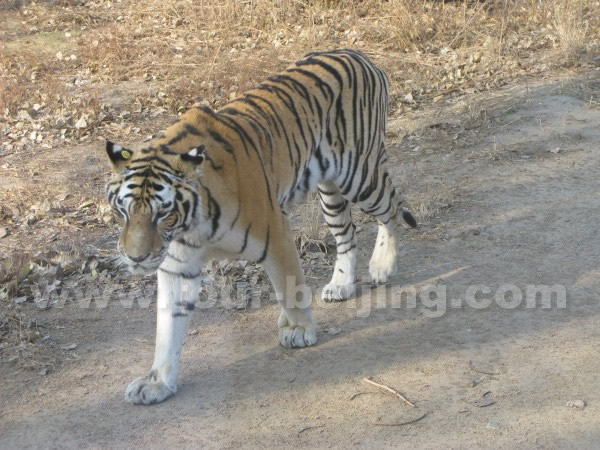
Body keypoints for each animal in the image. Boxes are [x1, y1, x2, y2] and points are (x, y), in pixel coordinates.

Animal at [106, 48, 418, 404]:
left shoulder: (276, 234)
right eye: (123, 212)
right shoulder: (177, 264)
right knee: (347, 234)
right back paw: (340, 285)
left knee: (392, 206)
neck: (191, 223)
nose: (136, 258)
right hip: (330, 191)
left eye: (162, 214)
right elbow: (168, 329)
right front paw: (157, 381)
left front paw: (298, 331)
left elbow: (290, 289)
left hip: (359, 175)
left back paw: (382, 265)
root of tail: (361, 55)